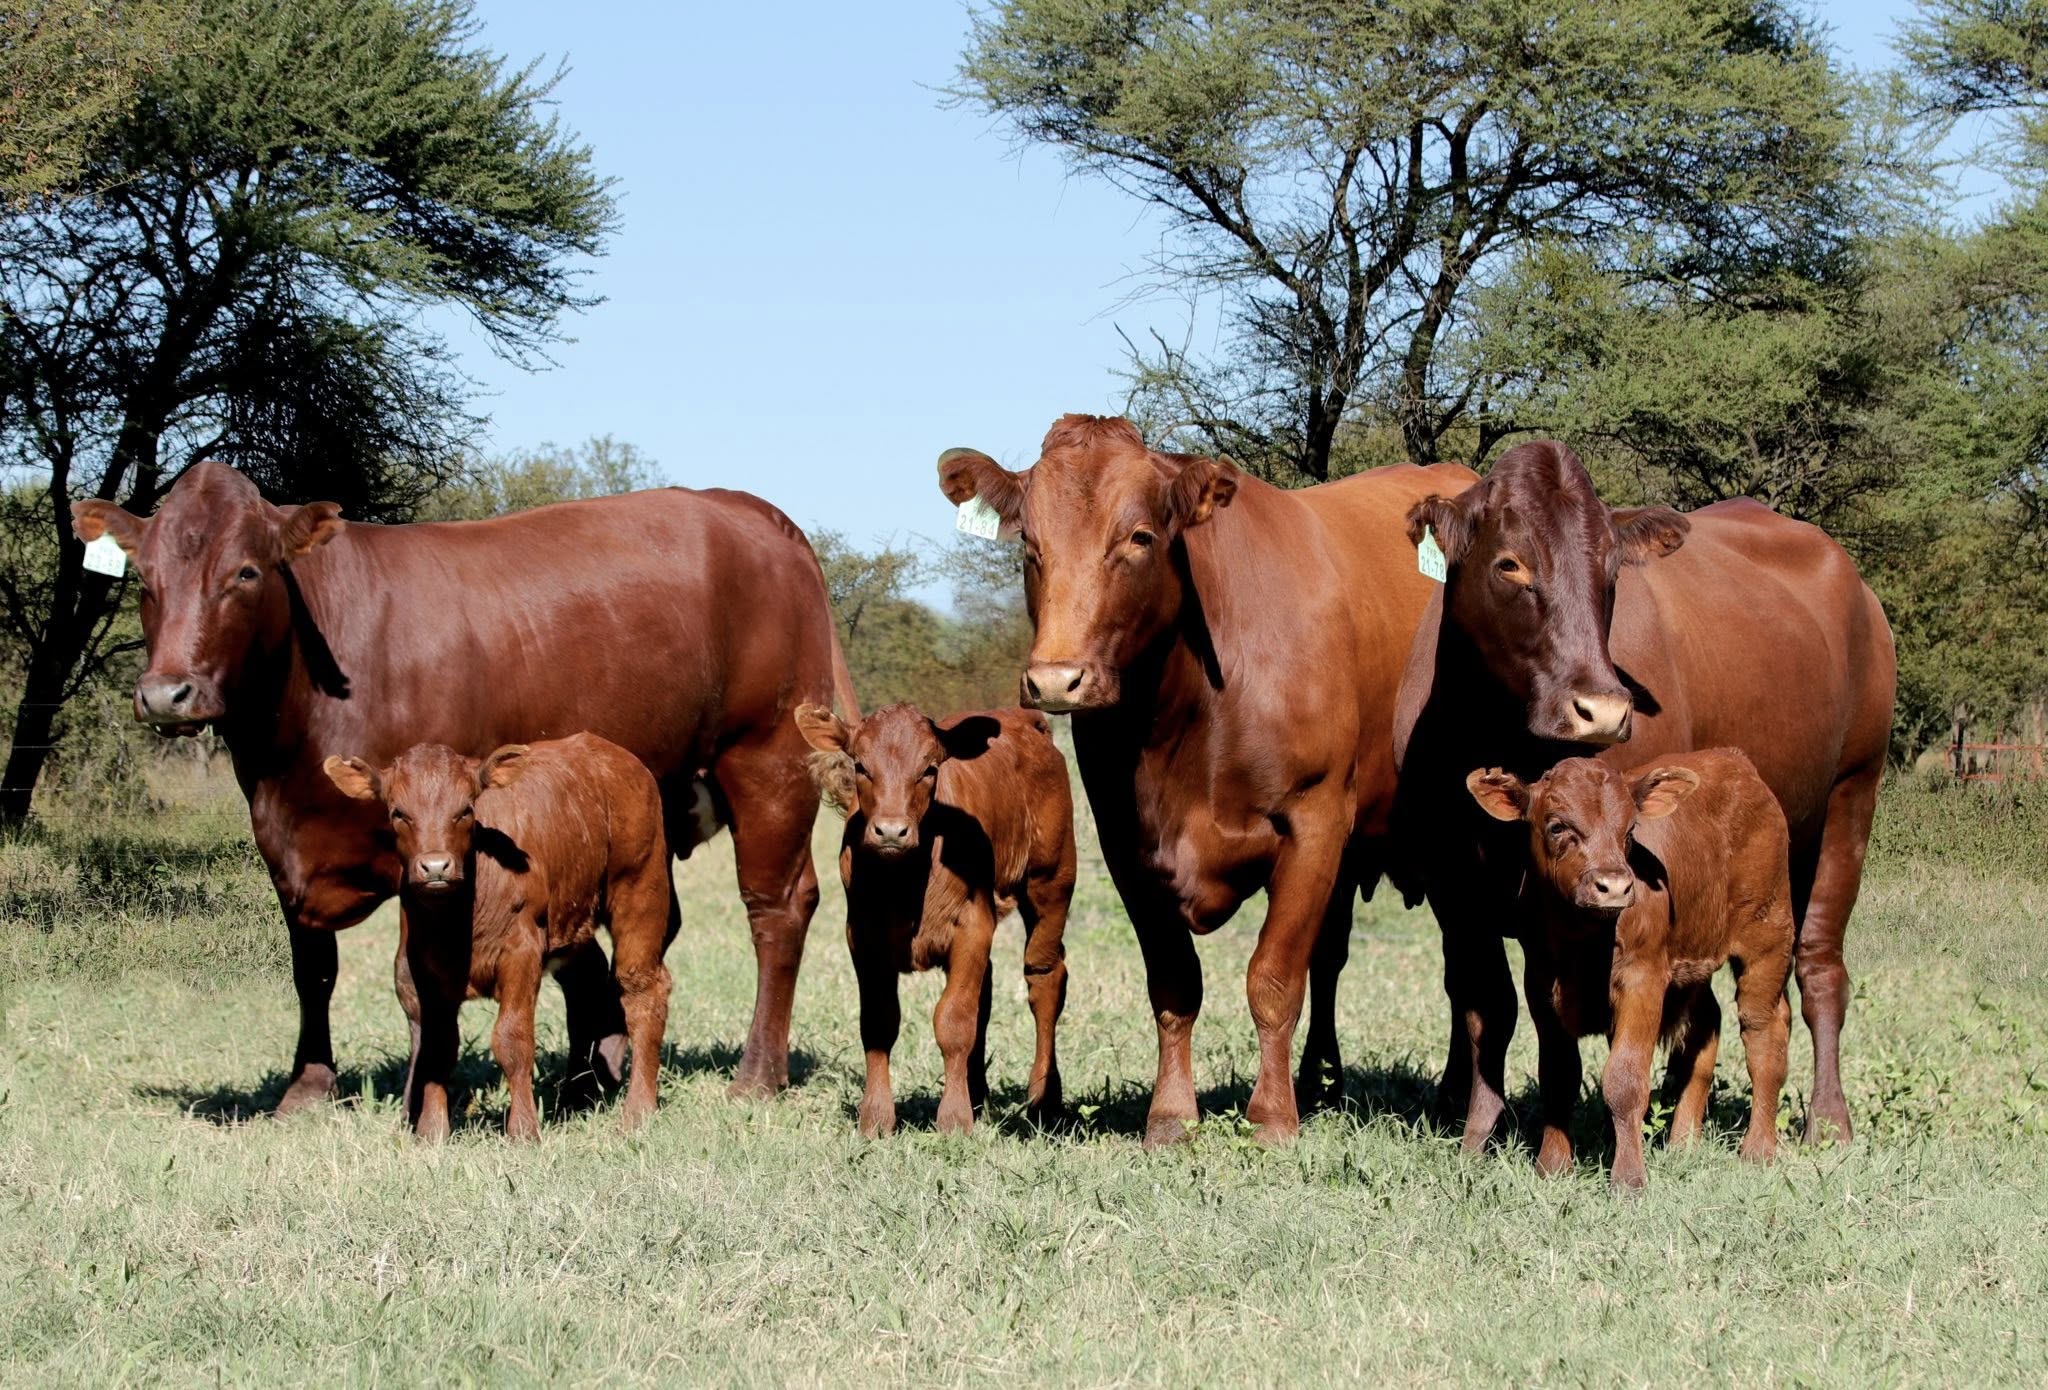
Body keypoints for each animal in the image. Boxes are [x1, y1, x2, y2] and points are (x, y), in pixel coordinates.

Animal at [322, 735, 675, 1140]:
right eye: (398, 813)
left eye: (465, 810)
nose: (435, 866)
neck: (458, 920)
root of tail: (608, 750)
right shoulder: (422, 963)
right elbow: (437, 1047)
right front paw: (431, 1132)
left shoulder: (520, 953)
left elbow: (512, 1040)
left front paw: (523, 1130)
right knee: (587, 984)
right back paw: (576, 1099)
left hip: (640, 886)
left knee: (642, 989)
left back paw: (638, 1110)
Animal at [795, 702, 1075, 1138]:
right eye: (860, 766)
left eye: (928, 769)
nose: (891, 831)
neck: (905, 882)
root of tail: (1024, 720)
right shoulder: (862, 935)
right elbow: (878, 1022)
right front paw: (876, 1117)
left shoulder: (972, 926)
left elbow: (955, 1020)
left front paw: (954, 1118)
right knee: (987, 990)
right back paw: (977, 1094)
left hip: (1052, 880)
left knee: (1045, 976)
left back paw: (1044, 1098)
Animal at [936, 414, 1477, 1146]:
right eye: (1029, 542)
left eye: (1138, 538)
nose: (1055, 679)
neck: (1189, 711)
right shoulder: (1127, 845)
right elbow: (1175, 983)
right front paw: (1171, 1114)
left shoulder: (1313, 822)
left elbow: (1273, 978)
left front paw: (1272, 1116)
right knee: (1334, 958)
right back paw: (1321, 1083)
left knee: (1460, 967)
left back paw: (1451, 1096)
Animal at [1466, 750, 1795, 1191]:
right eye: (1557, 826)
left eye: (1630, 829)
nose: (1616, 886)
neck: (1580, 940)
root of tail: (1735, 760)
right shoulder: (1540, 982)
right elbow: (1558, 1076)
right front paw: (1553, 1166)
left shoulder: (1643, 979)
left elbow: (1624, 1081)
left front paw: (1628, 1180)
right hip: (1694, 959)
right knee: (1705, 1029)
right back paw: (1683, 1143)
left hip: (1768, 934)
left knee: (1763, 1033)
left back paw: (1758, 1150)